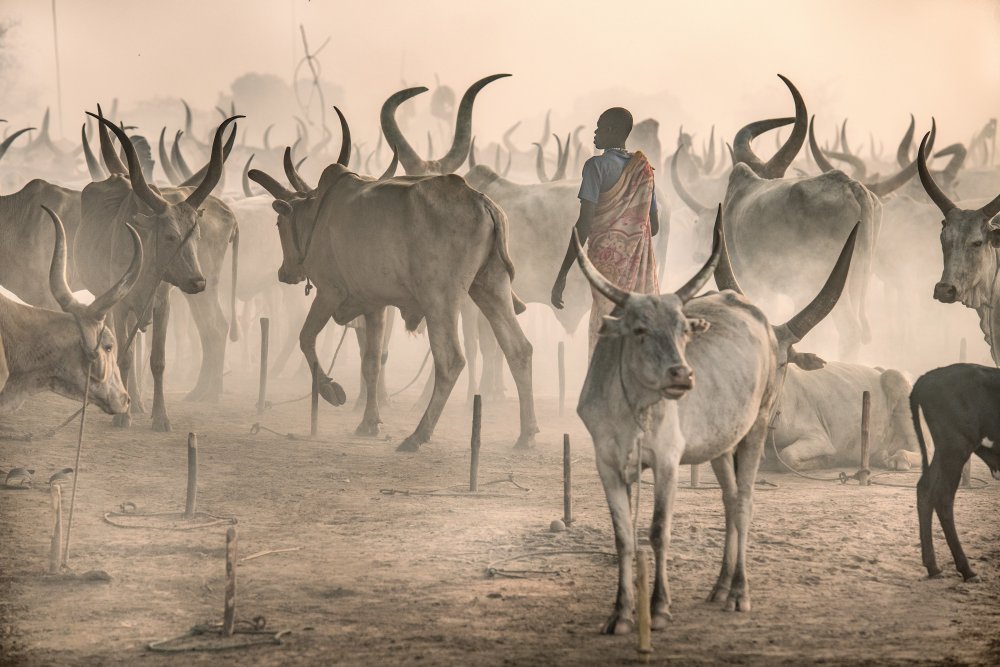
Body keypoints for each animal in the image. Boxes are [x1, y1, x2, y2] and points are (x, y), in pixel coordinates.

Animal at [580, 207, 860, 632]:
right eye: (640, 329)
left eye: (684, 329)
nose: (683, 375)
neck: (633, 407)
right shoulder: (607, 463)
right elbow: (623, 536)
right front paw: (620, 614)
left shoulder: (667, 461)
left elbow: (659, 531)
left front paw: (659, 608)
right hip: (722, 441)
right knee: (729, 498)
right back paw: (721, 585)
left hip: (755, 427)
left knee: (743, 500)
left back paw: (739, 592)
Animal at [764, 366, 920, 470]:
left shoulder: (818, 437)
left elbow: (786, 456)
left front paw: (826, 461)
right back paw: (880, 458)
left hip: (898, 382)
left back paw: (898, 460)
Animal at [912, 362, 1000, 580]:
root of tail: (928, 376)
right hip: (956, 447)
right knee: (943, 497)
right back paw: (966, 569)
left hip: (944, 451)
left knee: (925, 489)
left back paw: (933, 566)